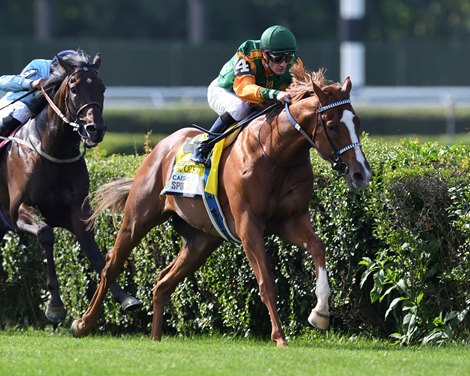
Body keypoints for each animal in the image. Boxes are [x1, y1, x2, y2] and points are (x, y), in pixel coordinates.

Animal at [0, 50, 140, 324]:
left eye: (102, 88)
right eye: (74, 88)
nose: (95, 129)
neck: (53, 149)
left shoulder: (75, 211)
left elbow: (95, 253)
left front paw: (125, 297)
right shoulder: (17, 211)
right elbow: (46, 234)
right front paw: (55, 305)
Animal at [70, 66, 370, 346]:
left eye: (356, 120)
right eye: (332, 126)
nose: (361, 174)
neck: (275, 152)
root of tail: (160, 148)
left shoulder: (291, 221)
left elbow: (318, 247)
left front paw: (320, 314)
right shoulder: (248, 225)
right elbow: (266, 282)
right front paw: (279, 337)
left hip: (201, 240)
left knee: (163, 282)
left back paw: (155, 338)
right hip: (137, 219)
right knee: (111, 267)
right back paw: (83, 324)